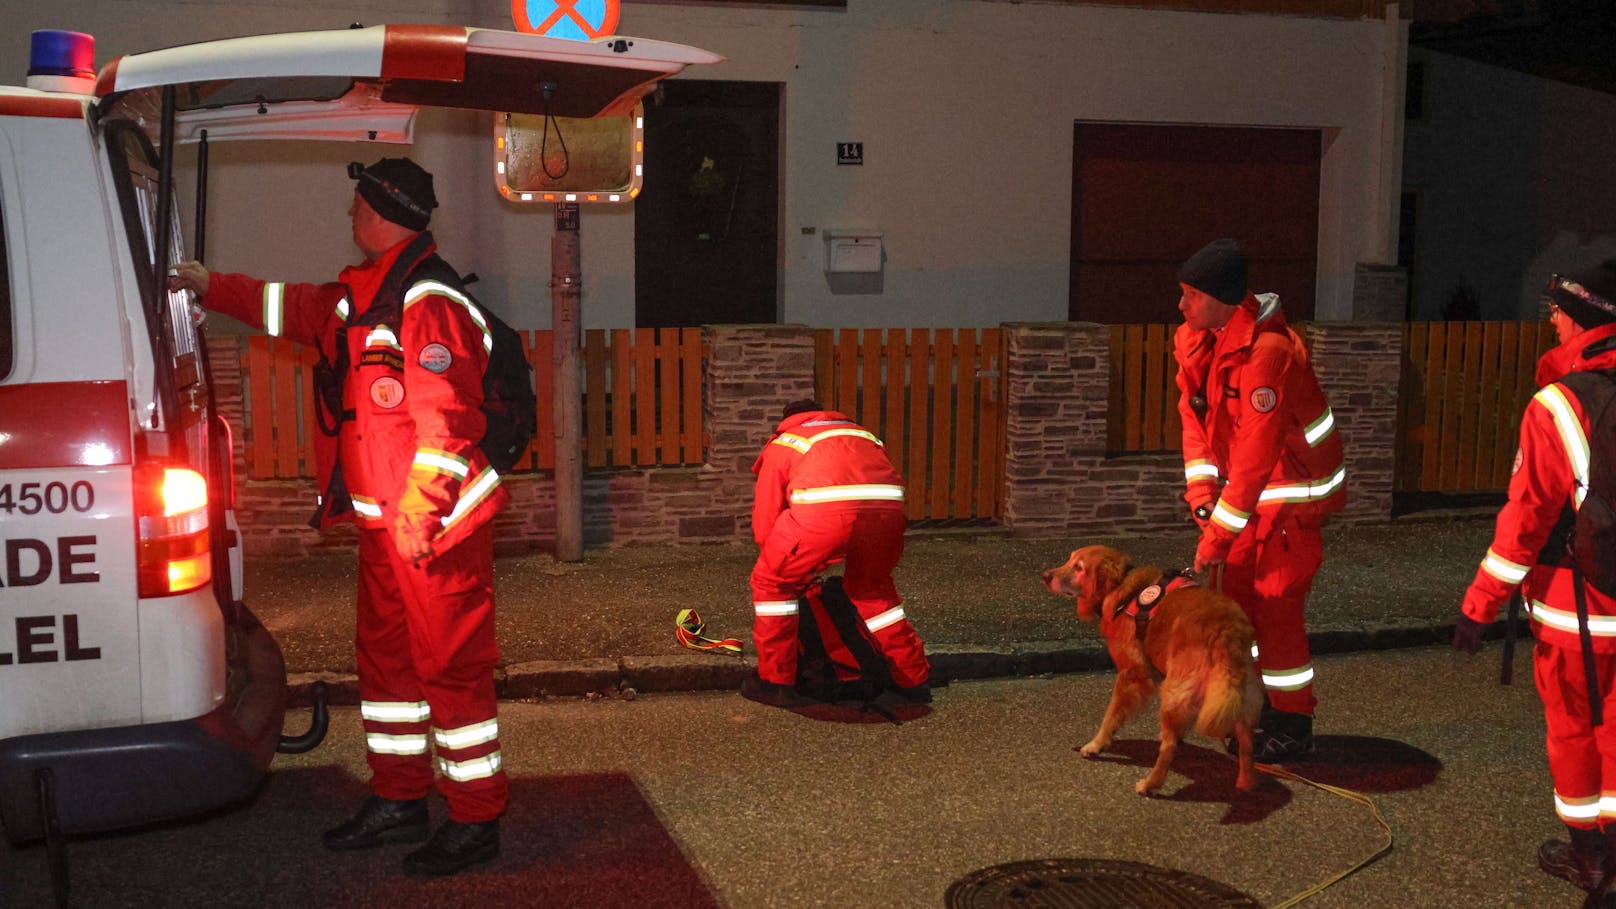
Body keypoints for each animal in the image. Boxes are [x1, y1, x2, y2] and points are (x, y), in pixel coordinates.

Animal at [1047, 540, 1260, 789]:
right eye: (1069, 560)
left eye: (1079, 567)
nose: (1046, 575)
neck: (1121, 586)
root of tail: (1226, 631)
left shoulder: (1131, 674)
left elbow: (1111, 716)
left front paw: (1096, 744)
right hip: (1239, 698)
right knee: (1246, 740)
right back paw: (1246, 782)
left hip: (1173, 694)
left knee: (1168, 747)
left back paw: (1151, 784)